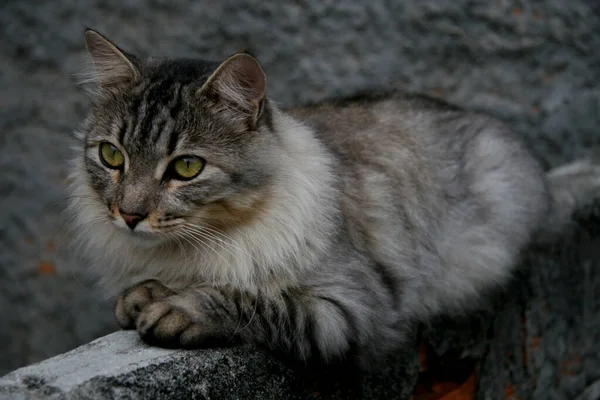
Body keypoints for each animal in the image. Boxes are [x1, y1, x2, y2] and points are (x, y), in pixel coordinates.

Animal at [69, 27, 600, 366]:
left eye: (186, 167)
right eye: (112, 156)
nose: (129, 214)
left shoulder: (349, 310)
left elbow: (256, 299)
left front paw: (180, 309)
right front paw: (146, 294)